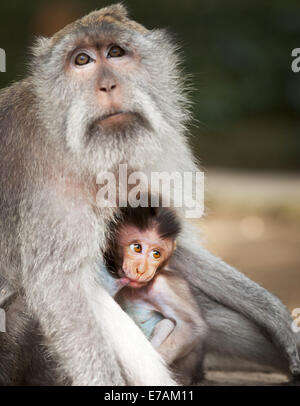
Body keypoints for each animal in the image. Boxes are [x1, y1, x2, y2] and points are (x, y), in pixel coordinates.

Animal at [103, 206, 209, 384]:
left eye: (156, 254)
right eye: (137, 247)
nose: (142, 270)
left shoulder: (162, 286)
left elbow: (192, 326)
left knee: (166, 324)